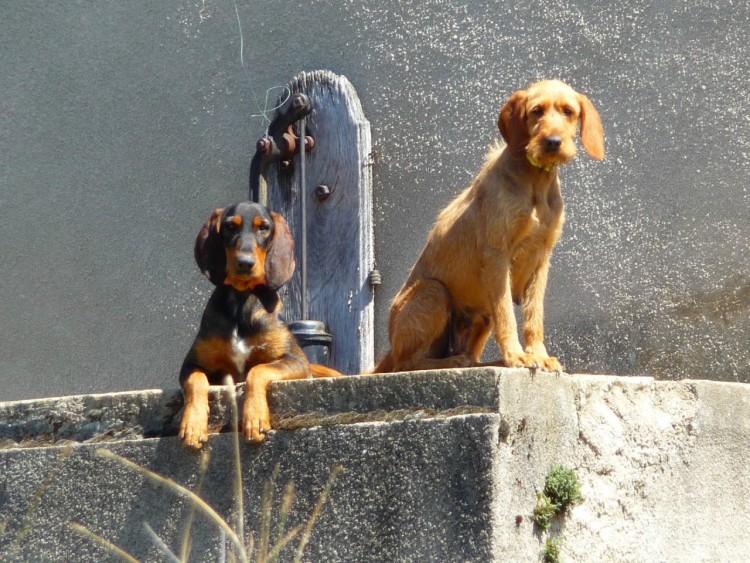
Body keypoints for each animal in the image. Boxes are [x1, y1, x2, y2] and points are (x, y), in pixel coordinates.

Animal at [181, 203, 340, 450]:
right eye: (230, 226)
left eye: (263, 228)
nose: (245, 263)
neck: (242, 299)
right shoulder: (190, 365)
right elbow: (196, 381)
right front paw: (193, 424)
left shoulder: (296, 361)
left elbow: (257, 370)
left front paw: (254, 417)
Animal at [374, 79, 604, 374]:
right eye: (536, 111)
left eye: (568, 111)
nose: (553, 142)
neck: (535, 182)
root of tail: (390, 349)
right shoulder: (497, 255)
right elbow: (506, 313)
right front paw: (518, 356)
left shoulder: (541, 259)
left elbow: (534, 316)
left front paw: (539, 355)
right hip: (433, 292)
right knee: (407, 364)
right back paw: (455, 361)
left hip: (479, 317)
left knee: (472, 356)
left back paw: (486, 361)